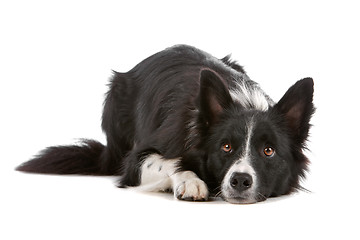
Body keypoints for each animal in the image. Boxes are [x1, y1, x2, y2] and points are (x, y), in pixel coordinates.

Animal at [16, 44, 316, 202]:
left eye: (268, 151)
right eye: (226, 147)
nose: (240, 180)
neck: (245, 102)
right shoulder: (135, 161)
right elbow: (167, 161)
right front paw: (190, 180)